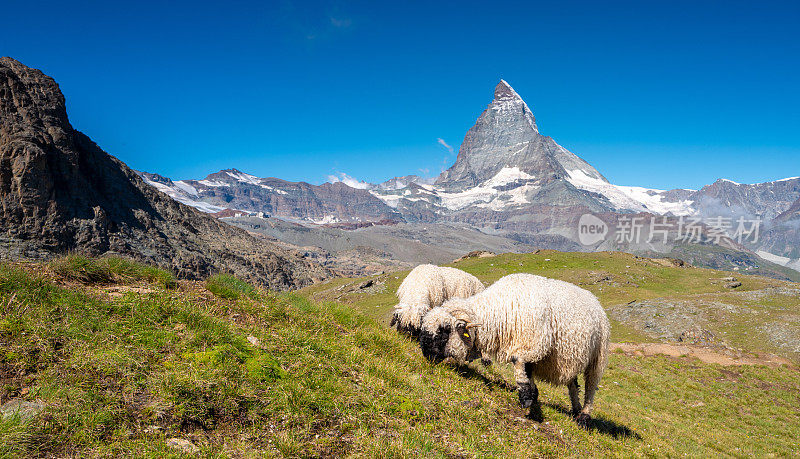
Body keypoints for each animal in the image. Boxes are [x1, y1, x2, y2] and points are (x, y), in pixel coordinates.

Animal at [416, 274, 608, 428]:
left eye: (444, 331)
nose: (426, 355)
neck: (501, 311)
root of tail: (596, 301)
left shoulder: (534, 341)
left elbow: (518, 362)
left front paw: (526, 397)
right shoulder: (529, 347)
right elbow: (527, 369)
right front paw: (533, 394)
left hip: (598, 356)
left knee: (591, 387)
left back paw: (584, 417)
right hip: (573, 357)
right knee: (573, 385)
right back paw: (575, 410)